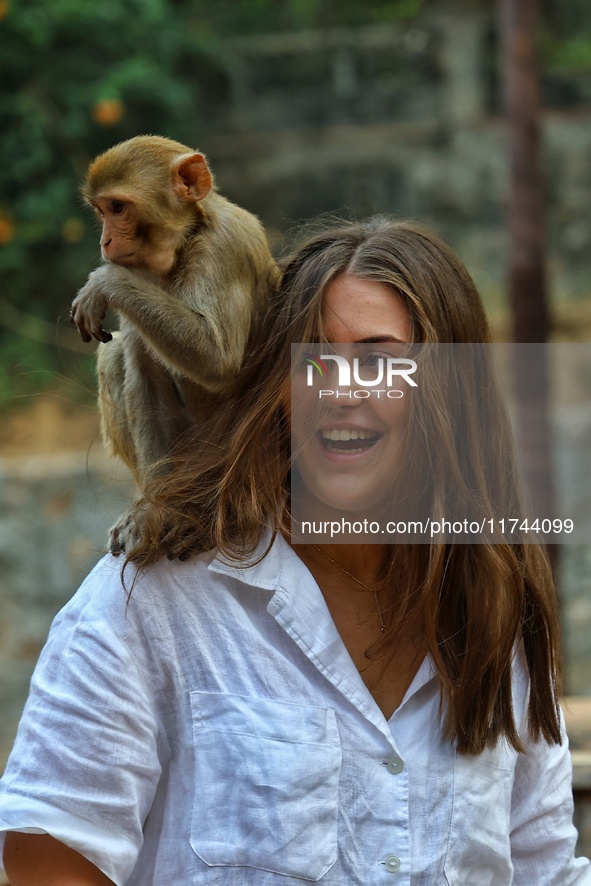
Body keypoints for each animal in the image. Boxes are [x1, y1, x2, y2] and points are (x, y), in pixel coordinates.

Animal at [70, 134, 280, 556]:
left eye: (118, 208)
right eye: (101, 210)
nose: (105, 241)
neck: (187, 238)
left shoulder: (224, 249)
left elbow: (217, 359)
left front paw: (104, 282)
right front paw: (153, 510)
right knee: (124, 351)